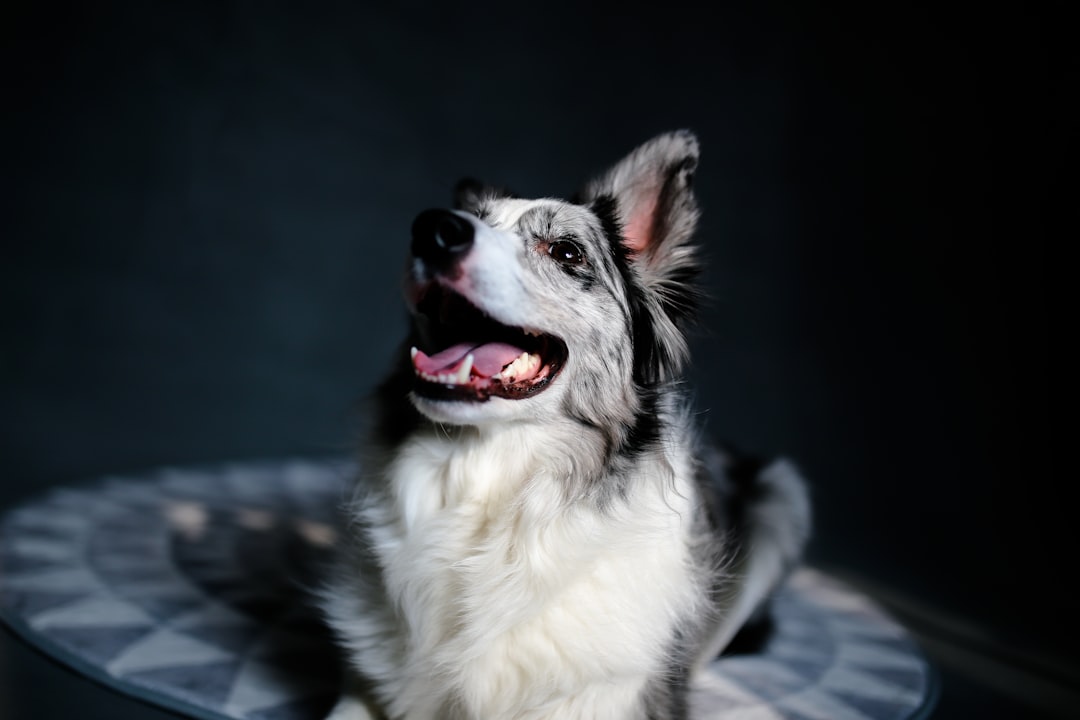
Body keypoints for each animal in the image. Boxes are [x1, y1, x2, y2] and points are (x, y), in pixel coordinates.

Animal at [319, 131, 812, 720]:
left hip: (784, 493)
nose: (433, 229)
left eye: (566, 252)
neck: (488, 483)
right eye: (470, 219)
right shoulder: (368, 686)